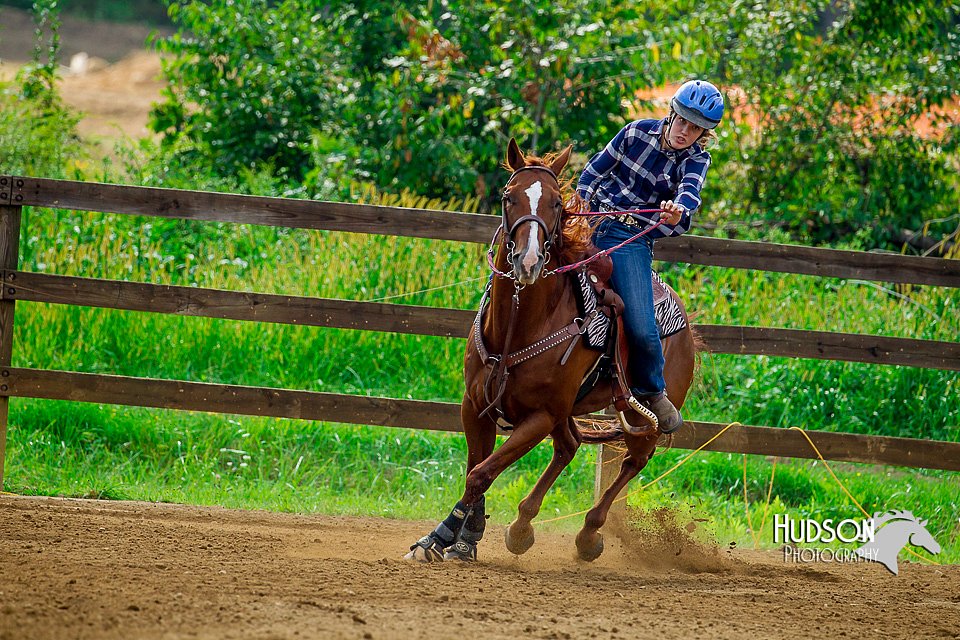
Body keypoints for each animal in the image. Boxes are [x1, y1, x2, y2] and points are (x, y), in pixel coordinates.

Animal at [404, 138, 696, 564]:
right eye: (508, 196)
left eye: (557, 203)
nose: (528, 261)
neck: (519, 327)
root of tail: (687, 326)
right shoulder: (475, 406)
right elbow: (478, 467)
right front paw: (464, 538)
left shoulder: (540, 416)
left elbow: (481, 473)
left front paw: (440, 538)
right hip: (565, 412)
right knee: (569, 447)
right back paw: (522, 526)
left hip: (637, 416)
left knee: (632, 461)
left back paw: (589, 534)